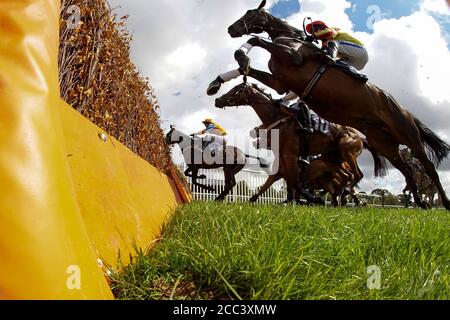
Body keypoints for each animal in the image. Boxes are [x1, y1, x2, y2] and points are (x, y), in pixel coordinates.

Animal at [227, 0, 450, 210]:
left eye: (251, 13)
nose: (231, 28)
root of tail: (404, 109)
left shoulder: (294, 57)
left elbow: (256, 39)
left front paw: (241, 57)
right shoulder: (279, 83)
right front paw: (232, 72)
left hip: (407, 135)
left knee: (428, 167)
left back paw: (444, 202)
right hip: (384, 144)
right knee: (407, 170)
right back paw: (418, 202)